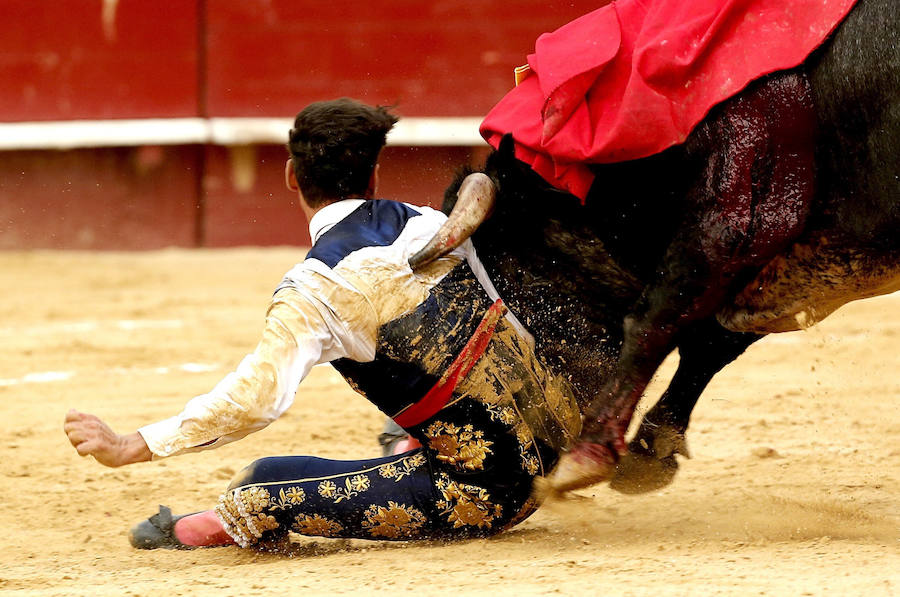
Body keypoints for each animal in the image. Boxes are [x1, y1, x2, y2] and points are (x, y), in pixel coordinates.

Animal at [412, 0, 896, 494]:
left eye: (517, 274)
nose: (544, 421)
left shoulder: (734, 216)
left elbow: (653, 323)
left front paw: (587, 456)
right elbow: (710, 341)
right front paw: (652, 448)